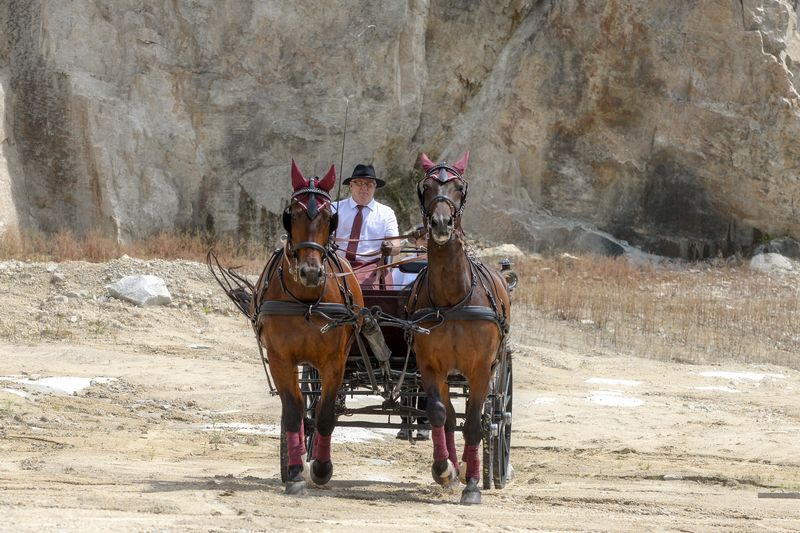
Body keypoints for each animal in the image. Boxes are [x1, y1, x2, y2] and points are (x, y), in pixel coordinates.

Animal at [248, 161, 364, 494]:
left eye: (328, 217)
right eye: (294, 214)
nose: (310, 272)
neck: (306, 301)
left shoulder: (335, 362)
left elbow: (325, 414)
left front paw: (322, 469)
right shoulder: (280, 359)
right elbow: (293, 411)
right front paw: (295, 470)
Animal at [406, 151, 512, 502]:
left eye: (459, 187)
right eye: (425, 187)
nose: (441, 224)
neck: (453, 299)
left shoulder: (480, 369)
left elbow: (475, 424)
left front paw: (473, 484)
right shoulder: (430, 366)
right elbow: (441, 415)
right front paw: (444, 469)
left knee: (483, 416)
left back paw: (472, 469)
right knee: (452, 417)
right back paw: (455, 466)